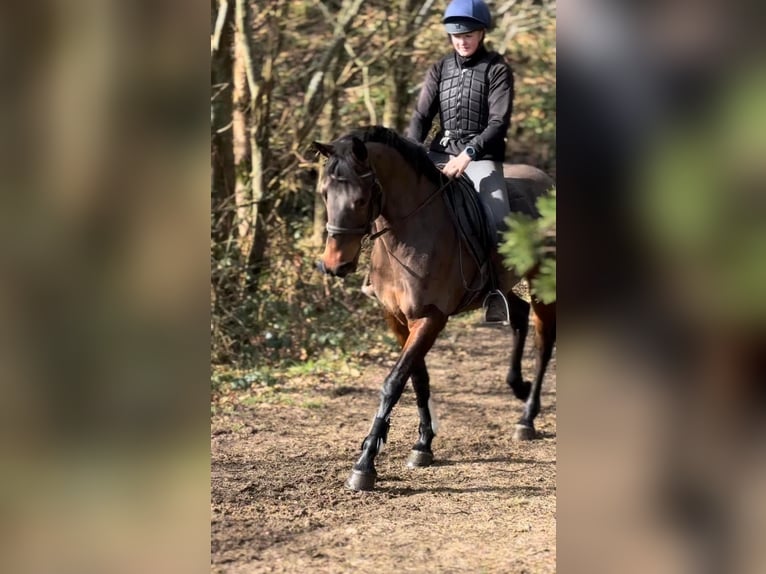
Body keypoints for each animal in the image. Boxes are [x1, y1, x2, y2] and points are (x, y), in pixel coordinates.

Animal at [312, 127, 560, 496]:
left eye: (360, 198)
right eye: (326, 195)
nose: (334, 265)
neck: (408, 234)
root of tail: (546, 180)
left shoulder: (431, 317)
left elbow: (393, 382)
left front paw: (365, 463)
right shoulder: (397, 319)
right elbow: (418, 378)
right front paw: (423, 444)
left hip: (543, 280)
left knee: (544, 340)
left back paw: (527, 417)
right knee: (518, 314)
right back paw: (517, 386)